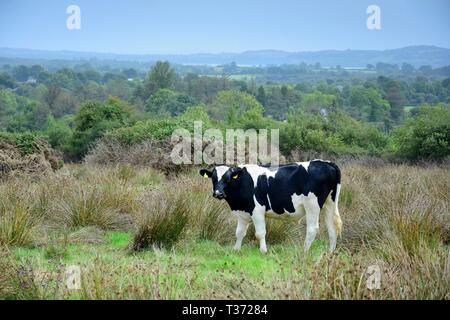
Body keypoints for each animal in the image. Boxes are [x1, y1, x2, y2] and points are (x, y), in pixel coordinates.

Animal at [199, 161, 342, 254]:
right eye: (213, 179)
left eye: (228, 179)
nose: (218, 193)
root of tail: (327, 162)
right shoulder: (243, 213)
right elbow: (239, 232)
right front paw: (236, 250)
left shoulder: (257, 211)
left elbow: (260, 233)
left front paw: (263, 251)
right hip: (330, 203)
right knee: (332, 228)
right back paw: (330, 252)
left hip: (312, 204)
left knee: (312, 229)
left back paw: (304, 251)